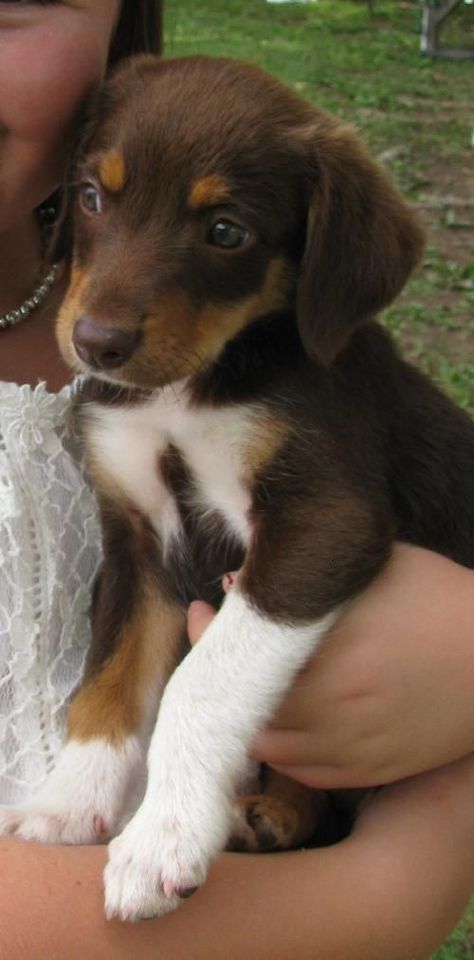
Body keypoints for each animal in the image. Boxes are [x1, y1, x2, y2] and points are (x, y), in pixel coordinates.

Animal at [1, 54, 472, 924]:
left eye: (226, 232)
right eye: (91, 197)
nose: (97, 343)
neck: (192, 389)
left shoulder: (325, 519)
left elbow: (203, 680)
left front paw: (162, 838)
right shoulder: (136, 541)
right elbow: (106, 686)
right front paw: (66, 804)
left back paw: (273, 811)